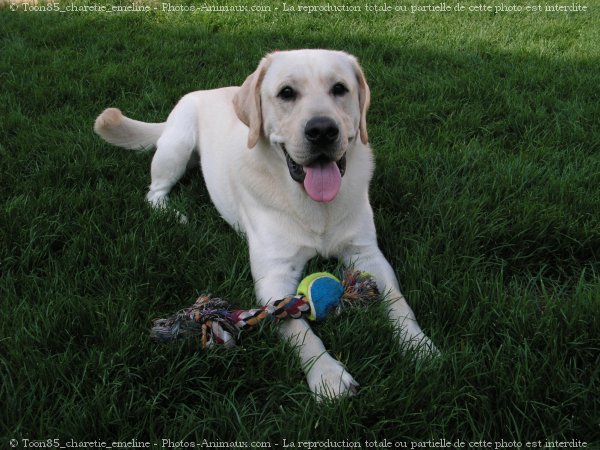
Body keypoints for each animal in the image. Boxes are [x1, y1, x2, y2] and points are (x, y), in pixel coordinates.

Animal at [94, 49, 436, 400]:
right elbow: (295, 325)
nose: (322, 130)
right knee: (154, 191)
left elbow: (397, 301)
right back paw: (173, 214)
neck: (314, 207)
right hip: (177, 145)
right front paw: (327, 375)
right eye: (286, 93)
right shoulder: (274, 274)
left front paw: (419, 346)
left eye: (340, 89)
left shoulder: (366, 253)